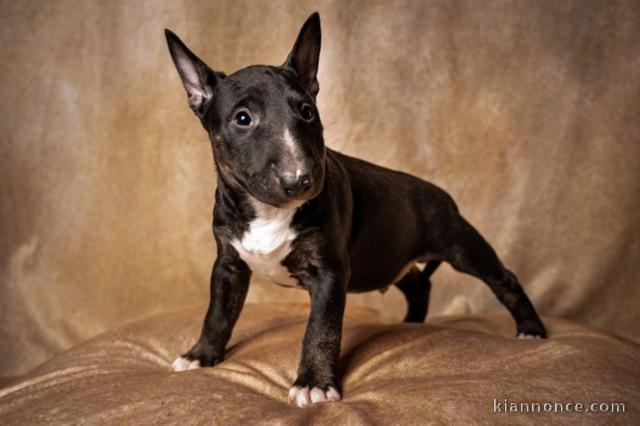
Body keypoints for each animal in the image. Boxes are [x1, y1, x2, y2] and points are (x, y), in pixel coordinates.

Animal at [166, 12, 544, 406]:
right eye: (242, 118)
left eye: (307, 112)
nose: (300, 180)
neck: (268, 212)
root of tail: (441, 195)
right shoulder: (228, 265)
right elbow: (218, 312)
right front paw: (201, 355)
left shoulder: (330, 272)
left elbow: (321, 330)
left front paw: (314, 383)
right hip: (390, 257)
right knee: (417, 285)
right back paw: (410, 323)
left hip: (459, 243)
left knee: (504, 279)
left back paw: (532, 330)